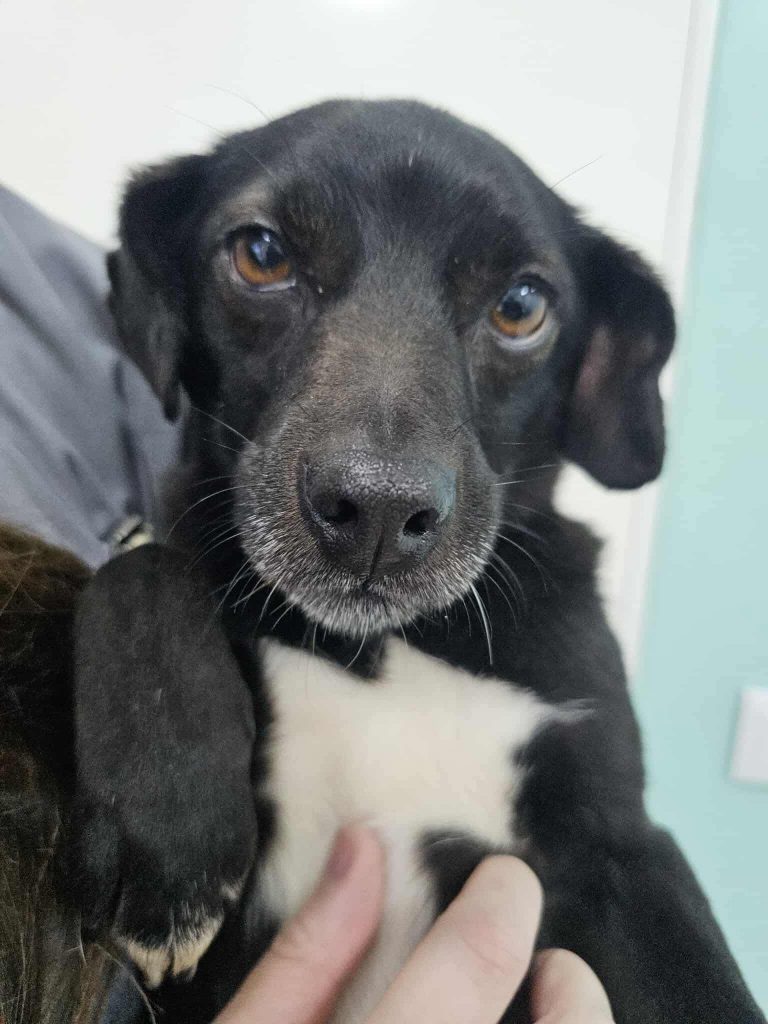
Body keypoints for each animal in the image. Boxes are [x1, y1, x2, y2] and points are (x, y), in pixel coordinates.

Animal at [67, 100, 764, 1023]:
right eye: (262, 255)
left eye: (521, 304)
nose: (378, 512)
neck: (383, 647)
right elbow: (142, 567)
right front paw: (171, 839)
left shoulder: (620, 845)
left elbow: (702, 981)